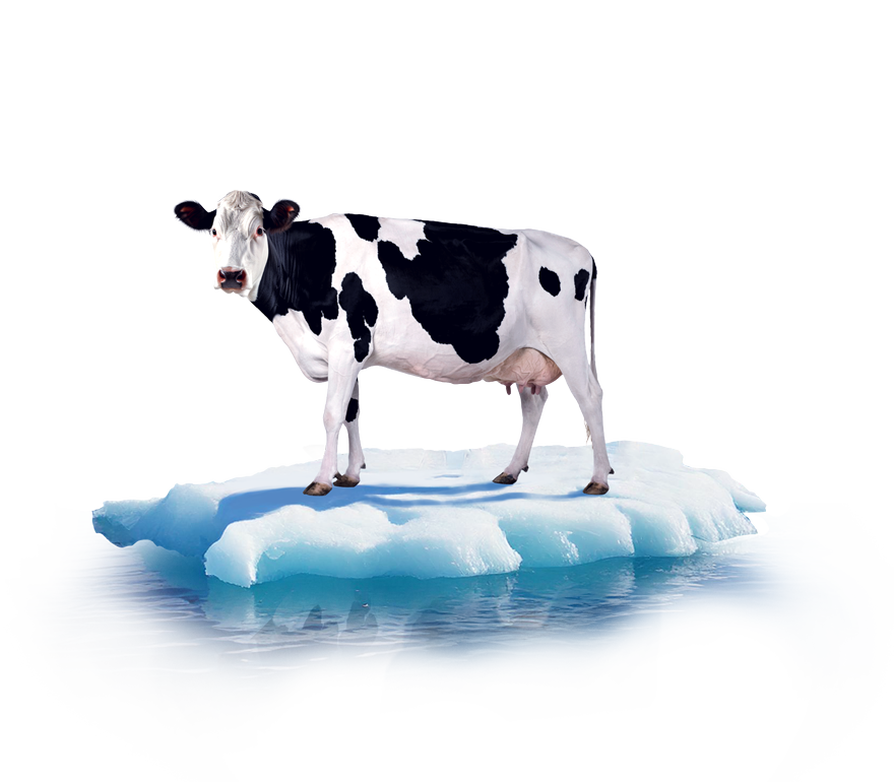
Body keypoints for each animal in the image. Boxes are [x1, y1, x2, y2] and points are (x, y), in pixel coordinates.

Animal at [170, 187, 613, 496]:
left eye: (259, 229)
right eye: (213, 231)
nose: (230, 276)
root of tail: (579, 246)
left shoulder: (347, 346)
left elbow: (331, 414)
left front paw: (322, 480)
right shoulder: (349, 355)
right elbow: (352, 413)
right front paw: (349, 475)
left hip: (568, 345)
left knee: (591, 398)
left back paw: (598, 480)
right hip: (524, 354)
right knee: (534, 404)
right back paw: (510, 471)